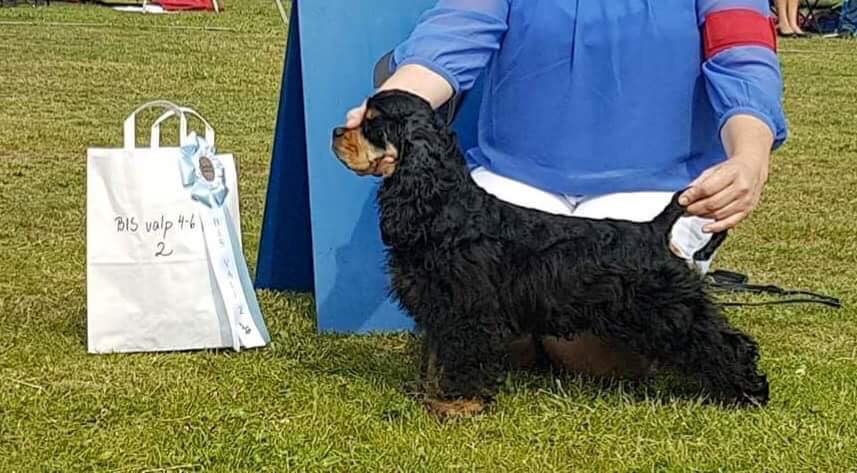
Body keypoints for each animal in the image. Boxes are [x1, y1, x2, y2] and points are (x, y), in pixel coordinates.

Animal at [331, 90, 769, 417]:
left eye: (371, 122)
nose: (336, 130)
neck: (442, 207)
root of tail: (653, 229)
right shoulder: (439, 307)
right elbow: (438, 357)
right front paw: (432, 395)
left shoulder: (469, 310)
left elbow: (464, 357)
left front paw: (461, 403)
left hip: (671, 309)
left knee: (726, 343)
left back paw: (748, 392)